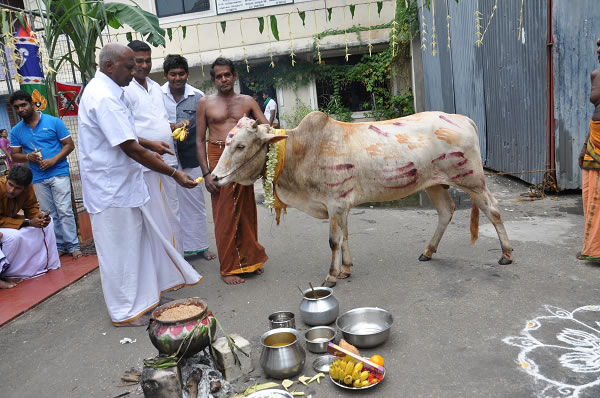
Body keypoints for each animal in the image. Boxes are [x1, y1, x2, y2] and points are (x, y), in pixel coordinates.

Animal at [210, 111, 510, 286]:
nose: (214, 178)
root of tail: (462, 118)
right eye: (227, 142)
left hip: (472, 179)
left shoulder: (335, 203)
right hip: (434, 184)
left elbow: (334, 241)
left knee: (493, 209)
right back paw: (427, 251)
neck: (301, 151)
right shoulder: (341, 205)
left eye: (241, 145)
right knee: (446, 211)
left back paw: (506, 253)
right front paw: (345, 269)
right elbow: (344, 237)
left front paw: (331, 276)